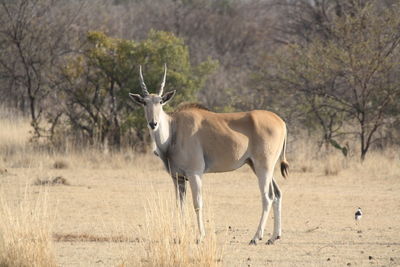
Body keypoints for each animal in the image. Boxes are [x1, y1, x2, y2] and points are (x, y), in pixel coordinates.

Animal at [130, 64, 290, 245]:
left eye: (160, 102)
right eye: (144, 102)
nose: (153, 123)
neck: (173, 129)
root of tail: (281, 122)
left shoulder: (195, 173)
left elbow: (197, 203)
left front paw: (200, 236)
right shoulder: (178, 178)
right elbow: (180, 206)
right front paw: (180, 236)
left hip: (264, 167)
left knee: (268, 197)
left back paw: (256, 237)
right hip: (257, 166)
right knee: (277, 194)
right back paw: (274, 236)